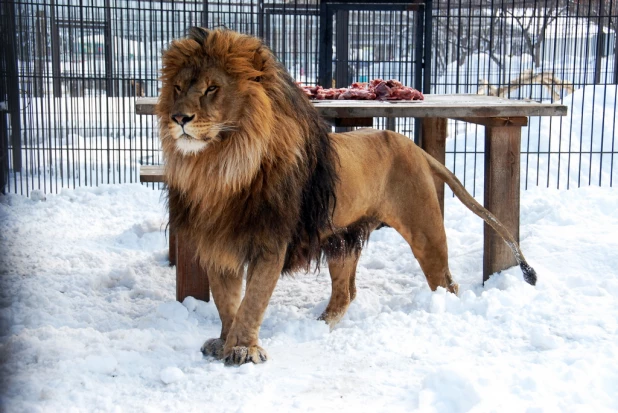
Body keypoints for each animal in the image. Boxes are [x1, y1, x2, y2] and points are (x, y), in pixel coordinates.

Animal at [155, 28, 536, 364]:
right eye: (177, 87)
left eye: (212, 89)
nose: (179, 117)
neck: (221, 166)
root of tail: (414, 147)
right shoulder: (218, 242)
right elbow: (226, 301)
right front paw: (224, 342)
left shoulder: (270, 243)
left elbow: (253, 301)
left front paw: (242, 350)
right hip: (342, 240)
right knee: (346, 293)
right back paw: (320, 326)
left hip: (425, 232)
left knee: (446, 283)